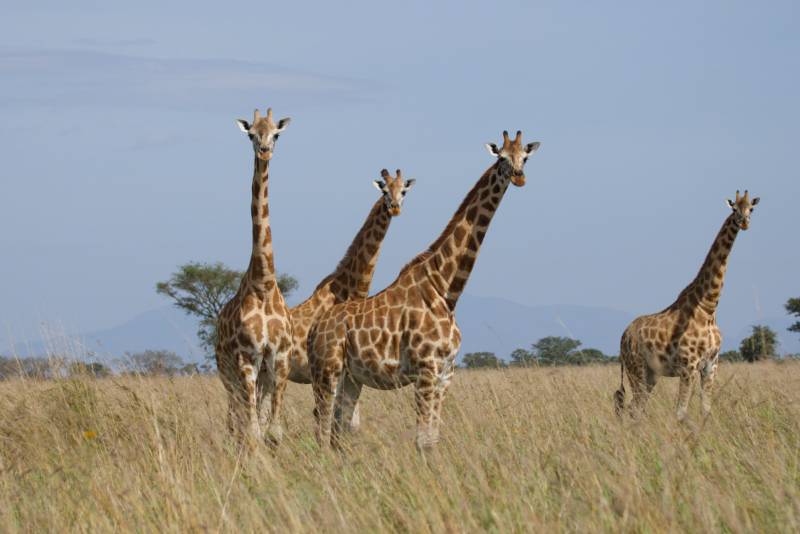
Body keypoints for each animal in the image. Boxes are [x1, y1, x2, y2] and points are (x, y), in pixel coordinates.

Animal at [258, 169, 415, 431]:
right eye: (384, 190)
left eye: (403, 191)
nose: (394, 207)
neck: (349, 288)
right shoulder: (323, 371)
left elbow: (349, 421)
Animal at [308, 131, 540, 450]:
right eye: (502, 157)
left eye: (525, 157)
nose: (519, 177)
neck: (446, 289)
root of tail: (314, 329)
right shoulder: (426, 369)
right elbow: (423, 441)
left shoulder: (446, 373)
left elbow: (432, 437)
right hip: (326, 372)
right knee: (321, 428)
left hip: (351, 377)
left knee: (337, 429)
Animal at [614, 190, 760, 422]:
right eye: (734, 209)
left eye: (751, 209)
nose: (744, 222)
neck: (708, 307)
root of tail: (623, 337)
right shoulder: (688, 365)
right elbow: (681, 412)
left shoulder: (711, 365)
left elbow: (705, 410)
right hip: (636, 369)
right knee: (634, 408)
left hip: (650, 374)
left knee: (635, 408)